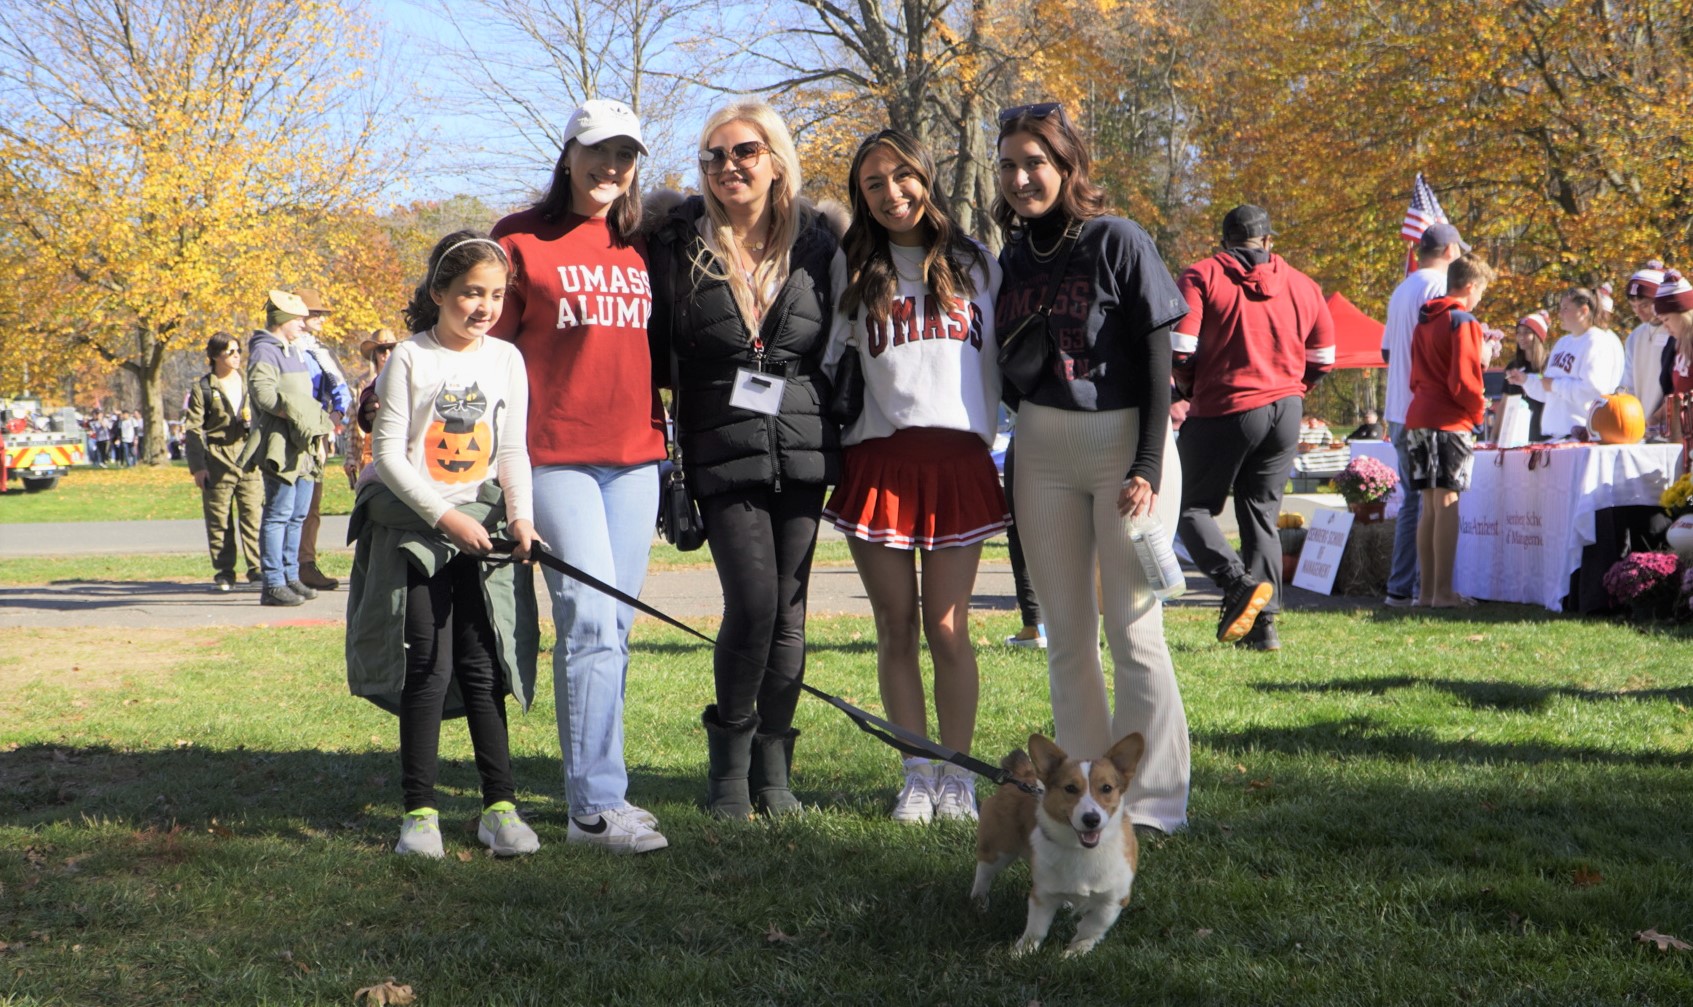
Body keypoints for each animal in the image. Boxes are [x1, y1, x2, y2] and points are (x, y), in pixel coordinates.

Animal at [975, 727, 1144, 954]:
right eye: (1070, 788)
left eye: (1107, 788)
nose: (1091, 819)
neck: (1082, 850)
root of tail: (1021, 776)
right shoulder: (1042, 896)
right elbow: (1036, 928)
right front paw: (1021, 952)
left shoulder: (1112, 901)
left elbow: (1090, 929)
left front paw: (1075, 952)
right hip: (998, 848)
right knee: (984, 873)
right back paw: (979, 902)